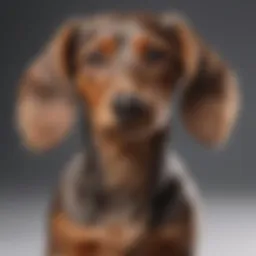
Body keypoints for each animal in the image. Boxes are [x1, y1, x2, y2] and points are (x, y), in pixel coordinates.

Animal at [15, 11, 240, 256]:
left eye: (155, 54)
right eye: (94, 57)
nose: (128, 105)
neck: (124, 167)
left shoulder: (174, 242)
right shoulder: (68, 243)